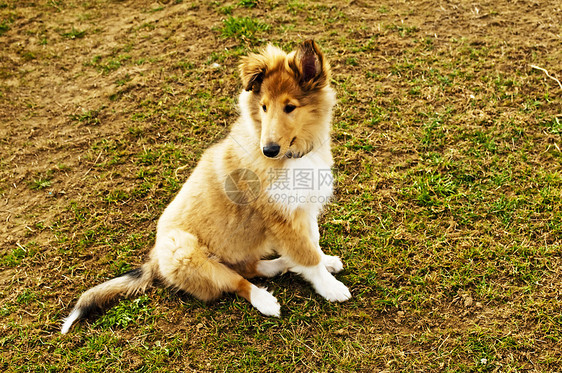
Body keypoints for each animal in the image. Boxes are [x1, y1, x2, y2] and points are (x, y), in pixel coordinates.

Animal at [62, 40, 350, 334]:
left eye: (290, 107)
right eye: (264, 107)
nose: (268, 150)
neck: (294, 155)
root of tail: (153, 261)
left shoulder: (304, 208)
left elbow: (312, 244)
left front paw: (325, 261)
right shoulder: (281, 219)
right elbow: (307, 256)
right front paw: (330, 288)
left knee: (250, 268)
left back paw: (283, 264)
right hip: (183, 251)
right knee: (236, 281)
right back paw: (265, 300)